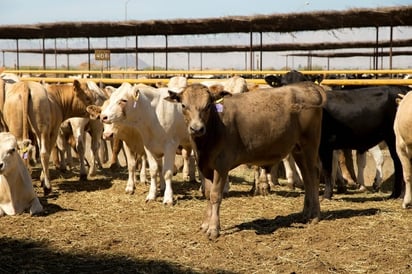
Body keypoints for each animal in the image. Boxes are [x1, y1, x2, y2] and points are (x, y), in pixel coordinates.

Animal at [166, 82, 326, 240]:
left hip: (310, 144)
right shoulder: (205, 167)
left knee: (313, 174)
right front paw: (205, 224)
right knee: (306, 176)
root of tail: (307, 86)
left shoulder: (221, 166)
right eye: (183, 105)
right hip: (297, 148)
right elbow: (207, 194)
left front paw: (213, 229)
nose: (197, 128)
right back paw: (305, 213)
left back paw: (315, 215)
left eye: (208, 105)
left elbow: (215, 195)